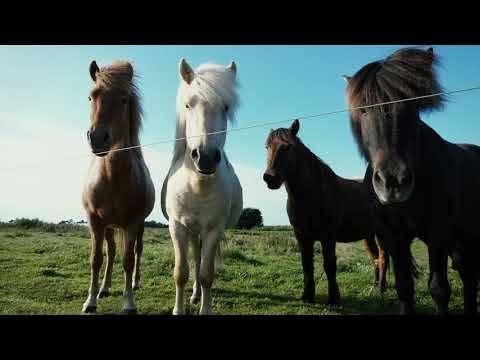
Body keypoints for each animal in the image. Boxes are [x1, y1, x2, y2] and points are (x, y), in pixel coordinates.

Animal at [81, 60, 155, 314]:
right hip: (109, 226)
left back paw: (135, 282)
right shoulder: (95, 221)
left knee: (136, 251)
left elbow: (128, 260)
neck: (112, 178)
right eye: (91, 97)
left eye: (123, 99)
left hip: (138, 226)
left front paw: (129, 303)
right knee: (111, 252)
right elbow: (97, 259)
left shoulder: (132, 223)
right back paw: (104, 288)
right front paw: (90, 300)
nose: (97, 138)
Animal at [162, 59, 244, 316]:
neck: (197, 185)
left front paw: (205, 308)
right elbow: (181, 273)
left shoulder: (214, 230)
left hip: (202, 232)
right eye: (188, 104)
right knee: (195, 259)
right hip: (192, 232)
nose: (206, 158)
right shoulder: (178, 227)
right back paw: (194, 295)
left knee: (200, 262)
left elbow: (207, 274)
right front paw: (178, 310)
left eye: (226, 107)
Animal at [260, 120, 388, 304]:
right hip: (368, 235)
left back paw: (381, 290)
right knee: (375, 258)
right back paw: (374, 287)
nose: (270, 178)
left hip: (382, 234)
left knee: (384, 259)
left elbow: (329, 265)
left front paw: (334, 298)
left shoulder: (328, 236)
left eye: (288, 147)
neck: (314, 193)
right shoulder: (302, 236)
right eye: (267, 147)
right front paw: (307, 296)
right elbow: (307, 265)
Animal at [344, 47, 480, 316]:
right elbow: (404, 287)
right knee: (469, 275)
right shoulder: (394, 238)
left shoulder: (438, 235)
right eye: (364, 109)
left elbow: (439, 289)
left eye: (412, 106)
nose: (393, 181)